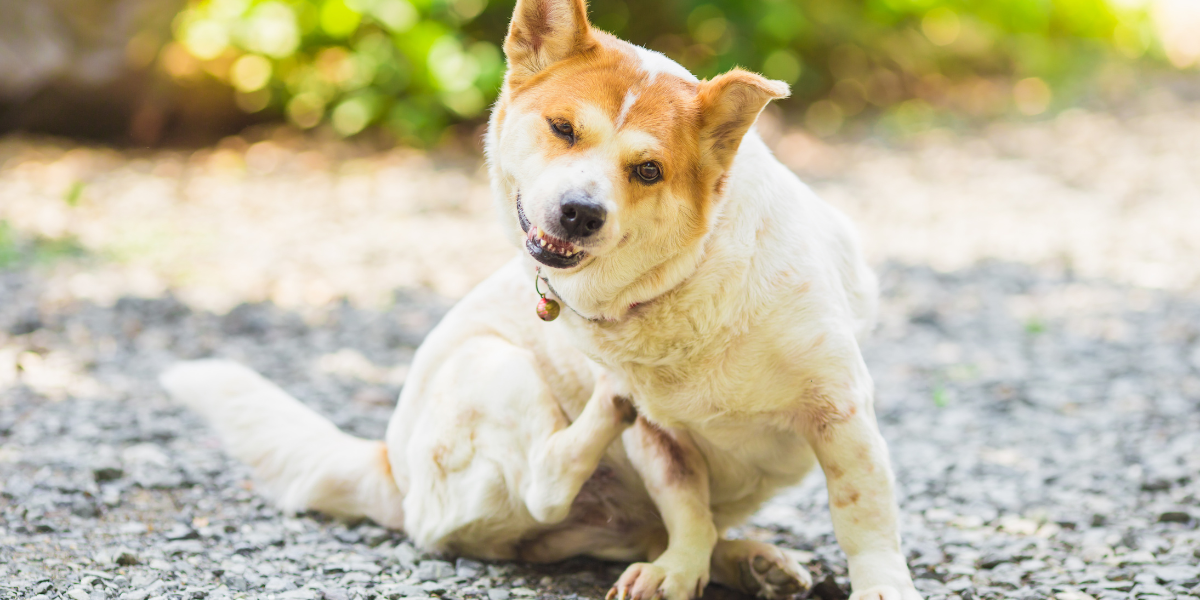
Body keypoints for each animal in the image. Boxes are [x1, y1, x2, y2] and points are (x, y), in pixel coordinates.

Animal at [159, 1, 916, 600]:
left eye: (649, 170)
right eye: (563, 128)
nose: (580, 212)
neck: (685, 282)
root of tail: (389, 468)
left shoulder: (841, 412)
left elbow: (862, 511)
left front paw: (878, 585)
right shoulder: (660, 439)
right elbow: (685, 504)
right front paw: (679, 572)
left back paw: (753, 562)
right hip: (495, 367)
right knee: (546, 486)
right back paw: (618, 428)